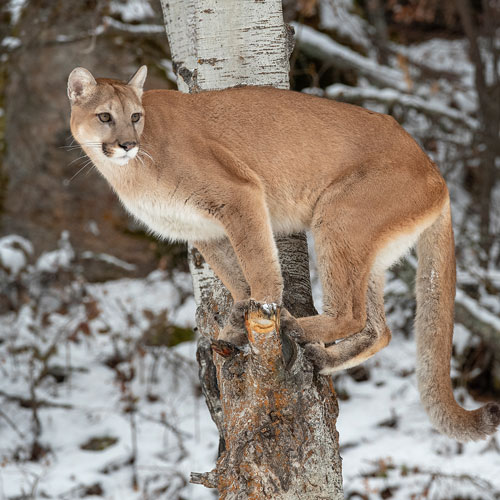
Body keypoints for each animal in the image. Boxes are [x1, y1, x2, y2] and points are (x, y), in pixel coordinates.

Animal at [67, 65, 500, 442]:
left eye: (135, 116)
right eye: (105, 116)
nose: (127, 144)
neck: (129, 170)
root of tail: (436, 172)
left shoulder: (239, 196)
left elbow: (258, 262)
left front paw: (264, 306)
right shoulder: (203, 231)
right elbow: (234, 275)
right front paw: (236, 325)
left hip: (337, 216)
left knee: (352, 313)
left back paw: (297, 328)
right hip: (367, 249)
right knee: (380, 329)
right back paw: (322, 359)